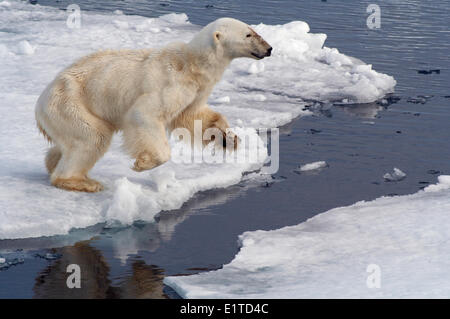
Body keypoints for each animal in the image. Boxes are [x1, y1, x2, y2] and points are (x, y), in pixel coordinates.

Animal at [34, 17, 270, 192]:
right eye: (248, 34)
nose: (269, 49)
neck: (192, 64)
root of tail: (40, 105)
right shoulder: (171, 83)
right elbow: (146, 114)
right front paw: (142, 163)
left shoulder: (196, 90)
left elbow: (190, 116)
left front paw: (229, 138)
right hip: (70, 103)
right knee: (92, 137)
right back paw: (81, 181)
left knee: (71, 142)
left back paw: (52, 162)